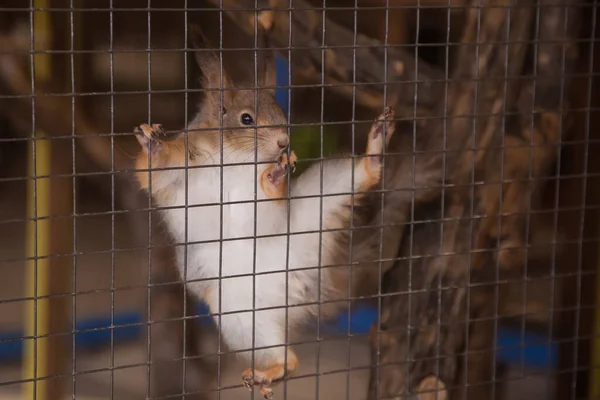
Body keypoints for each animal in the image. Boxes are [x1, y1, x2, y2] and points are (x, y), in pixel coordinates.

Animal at [132, 26, 396, 398]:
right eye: (246, 119)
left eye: (282, 114)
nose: (284, 143)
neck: (237, 158)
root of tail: (290, 286)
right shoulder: (178, 176)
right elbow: (155, 170)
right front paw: (152, 142)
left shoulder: (261, 208)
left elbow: (267, 210)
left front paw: (275, 175)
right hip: (238, 312)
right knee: (285, 356)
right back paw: (269, 371)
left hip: (319, 203)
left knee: (358, 178)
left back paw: (374, 148)